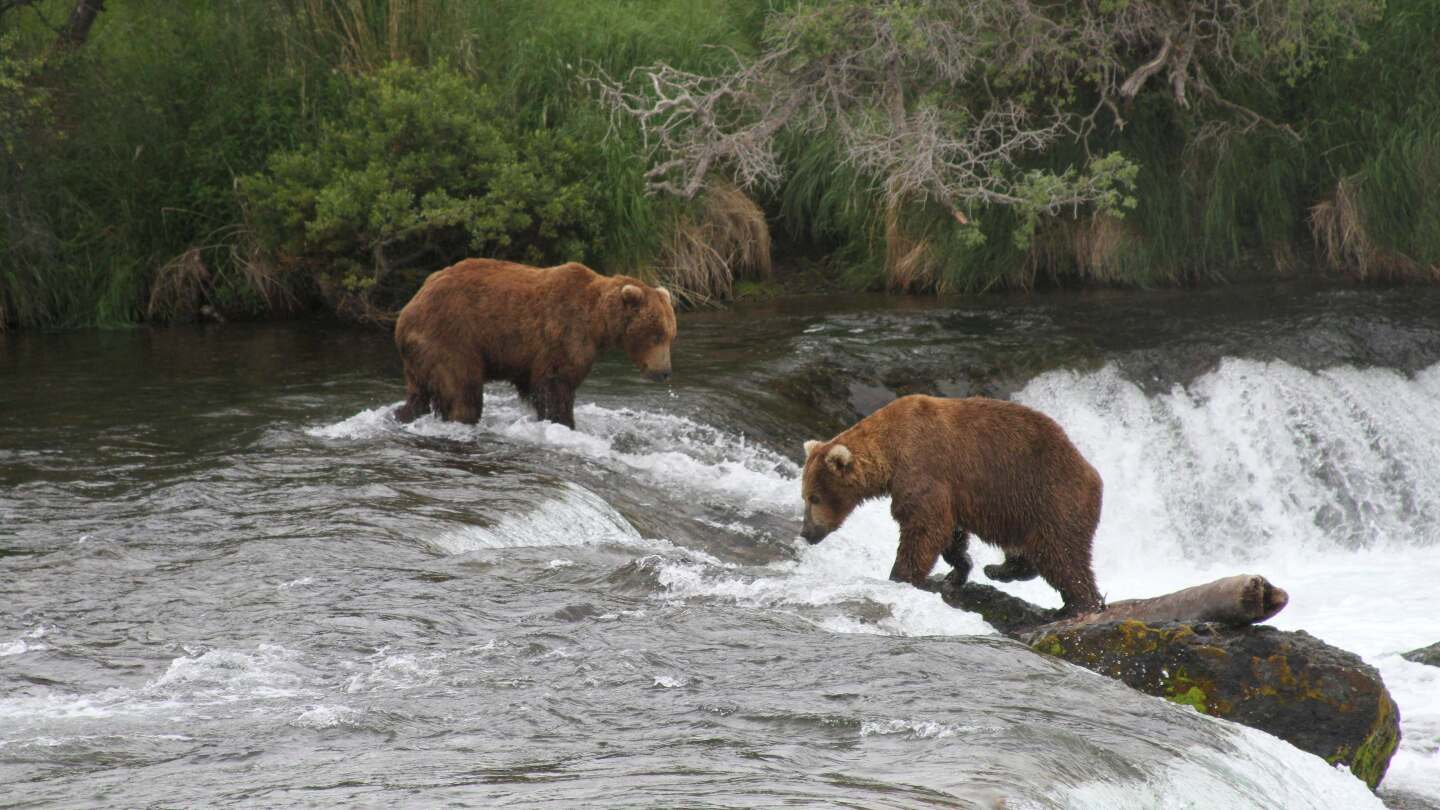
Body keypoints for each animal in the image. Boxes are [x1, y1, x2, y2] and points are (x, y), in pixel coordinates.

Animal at [393, 258, 677, 429]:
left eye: (671, 335)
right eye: (656, 335)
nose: (664, 372)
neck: (598, 322)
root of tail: (407, 310)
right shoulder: (564, 332)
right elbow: (555, 384)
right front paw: (563, 422)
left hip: (420, 356)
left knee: (418, 393)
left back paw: (402, 414)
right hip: (451, 337)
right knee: (462, 390)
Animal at [799, 394, 1104, 616]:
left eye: (814, 497)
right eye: (804, 496)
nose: (806, 533)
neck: (891, 450)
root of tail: (1094, 474)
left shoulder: (923, 468)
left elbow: (925, 527)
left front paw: (900, 576)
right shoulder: (949, 491)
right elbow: (950, 533)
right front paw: (958, 570)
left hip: (1049, 498)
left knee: (1062, 555)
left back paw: (1078, 605)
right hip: (1021, 513)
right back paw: (999, 569)